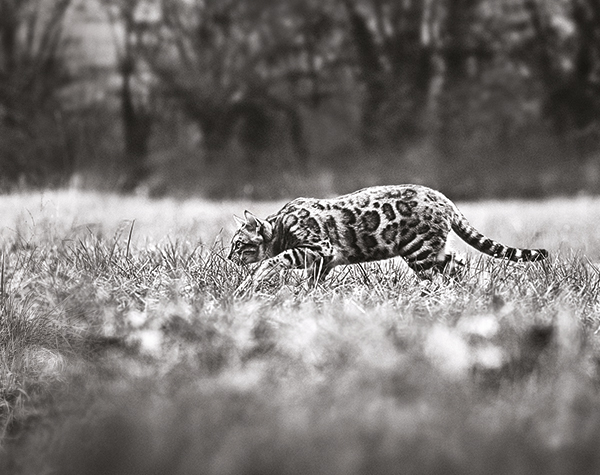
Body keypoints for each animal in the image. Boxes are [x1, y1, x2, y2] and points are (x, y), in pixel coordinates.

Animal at [229, 185, 548, 290]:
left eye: (238, 244)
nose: (229, 257)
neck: (280, 225)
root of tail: (444, 199)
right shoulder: (324, 260)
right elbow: (313, 280)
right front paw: (309, 295)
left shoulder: (319, 247)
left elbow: (276, 260)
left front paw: (254, 279)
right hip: (435, 250)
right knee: (459, 263)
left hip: (418, 251)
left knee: (436, 278)